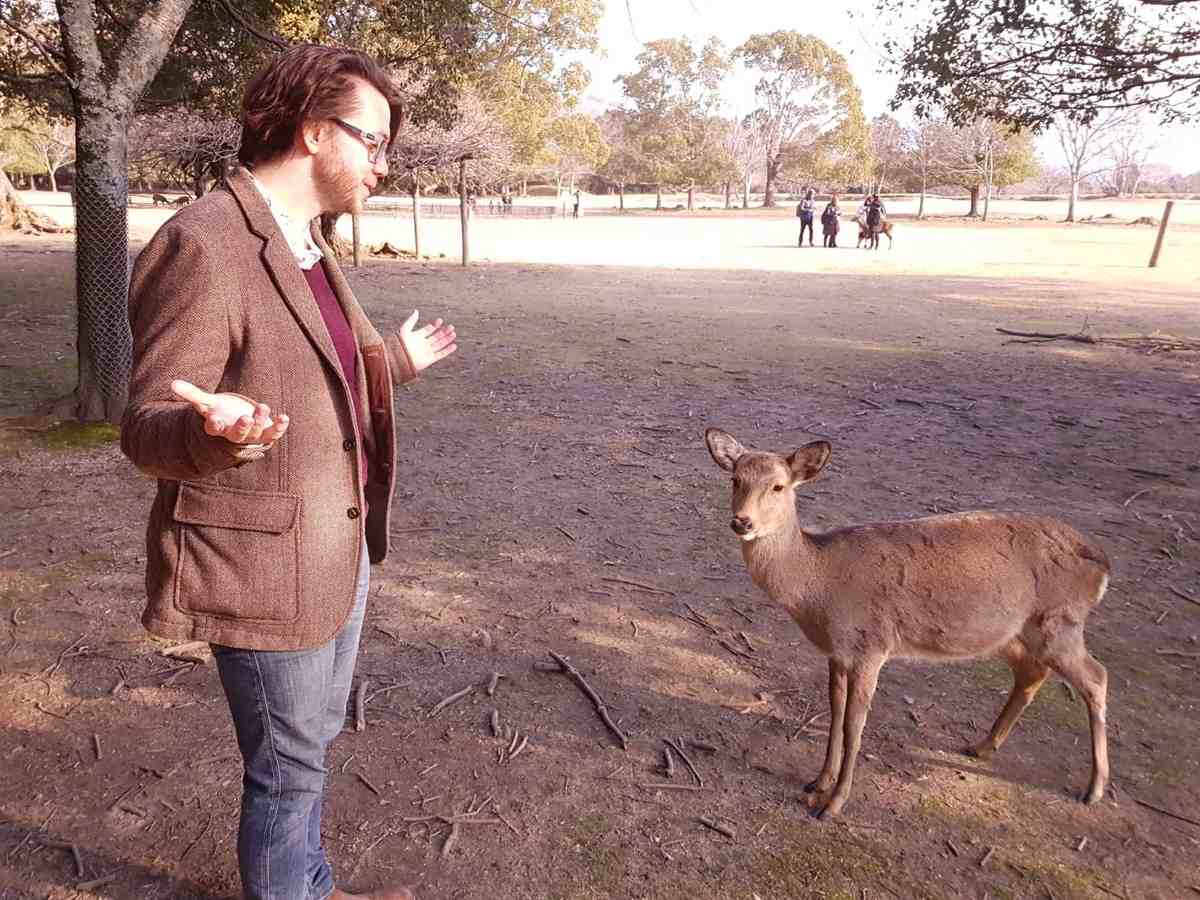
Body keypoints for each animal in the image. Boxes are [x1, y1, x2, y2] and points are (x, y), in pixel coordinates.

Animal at [705, 429, 1108, 825]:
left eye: (778, 486)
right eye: (735, 479)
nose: (742, 522)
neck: (820, 590)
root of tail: (1103, 563)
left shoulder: (872, 646)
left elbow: (854, 726)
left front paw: (832, 804)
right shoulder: (837, 652)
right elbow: (834, 714)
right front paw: (817, 782)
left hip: (1060, 622)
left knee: (1096, 677)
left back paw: (1094, 789)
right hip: (1013, 632)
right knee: (1032, 672)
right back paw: (982, 746)